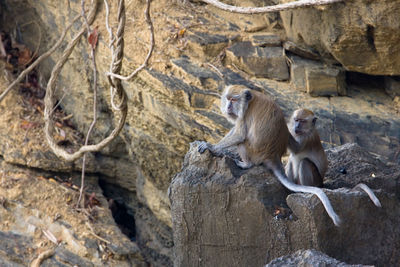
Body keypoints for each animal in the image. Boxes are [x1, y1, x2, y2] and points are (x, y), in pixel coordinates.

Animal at [198, 85, 342, 226]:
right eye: (228, 99)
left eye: (233, 100)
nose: (228, 106)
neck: (250, 101)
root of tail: (273, 156)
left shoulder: (244, 115)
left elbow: (240, 135)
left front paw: (211, 147)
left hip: (255, 153)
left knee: (242, 142)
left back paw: (246, 164)